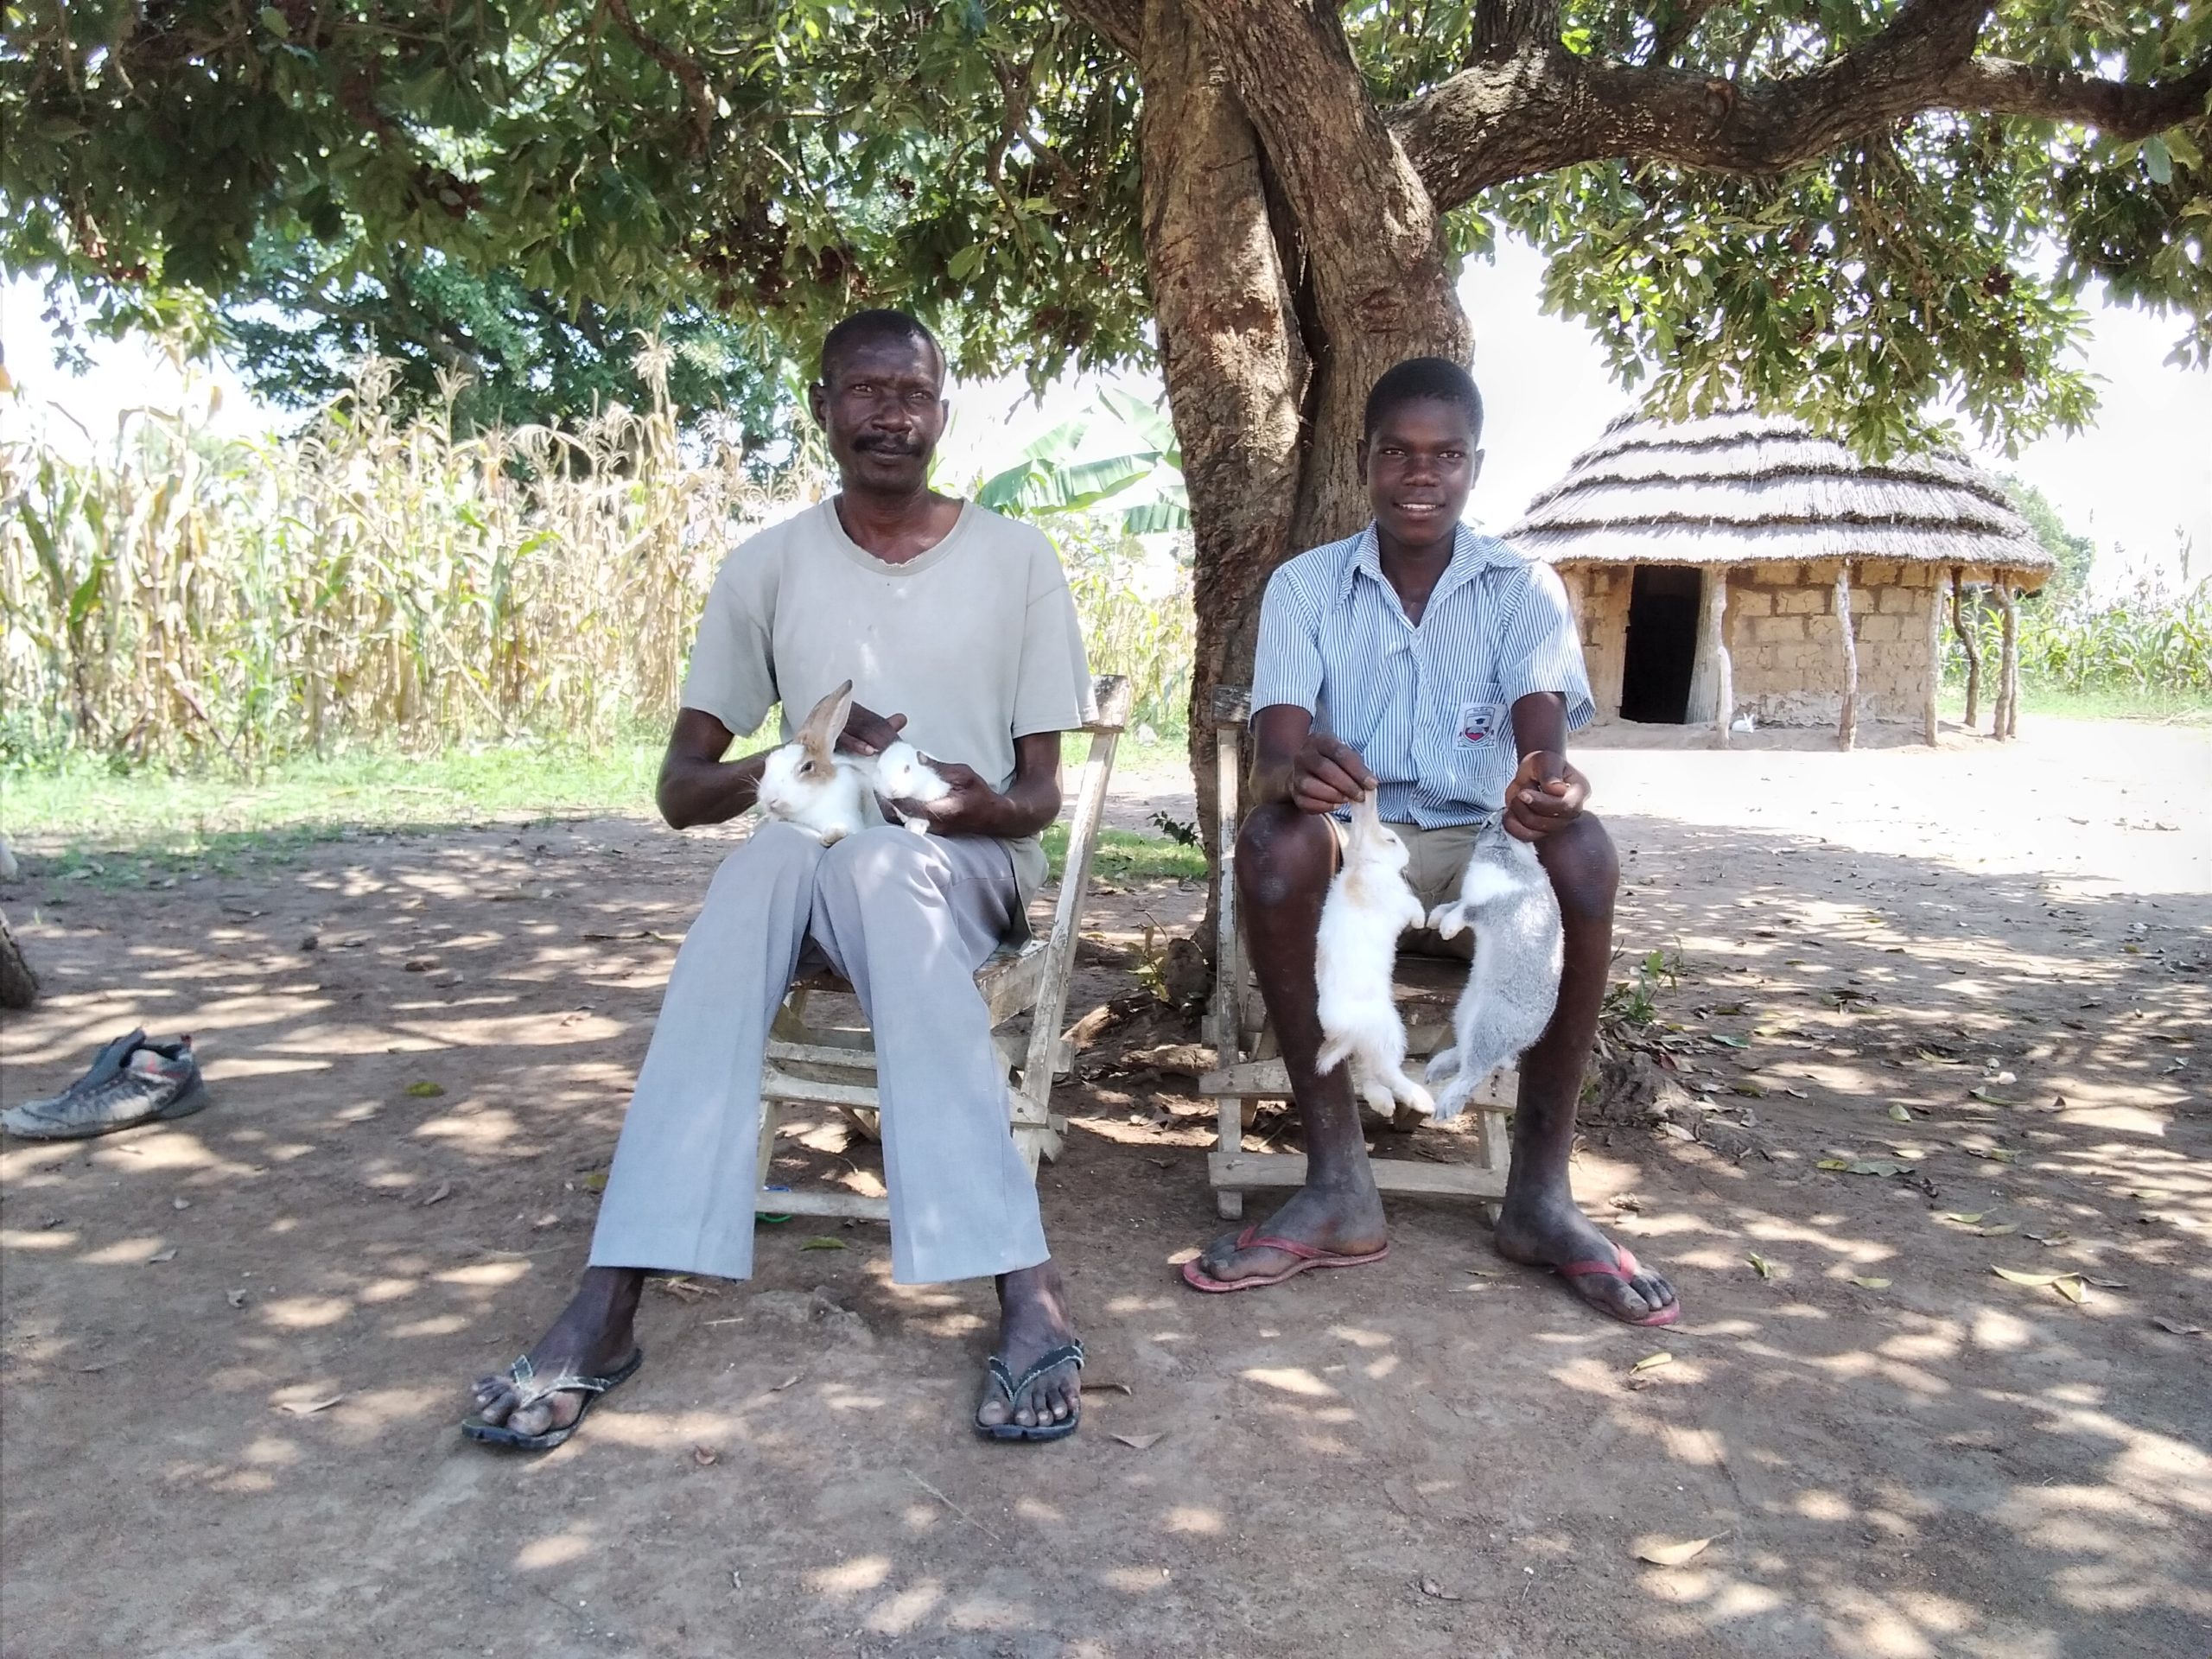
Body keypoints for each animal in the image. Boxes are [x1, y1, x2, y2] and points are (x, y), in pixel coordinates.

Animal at [1309, 787, 1433, 1119]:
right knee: (1386, 1071)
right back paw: (1421, 1100)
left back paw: (1384, 1105)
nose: (1408, 857)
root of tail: (1344, 1034)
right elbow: (1414, 908)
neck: (1366, 864)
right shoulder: (1399, 903)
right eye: (1391, 840)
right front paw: (1421, 922)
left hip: (1373, 1042)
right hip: (1387, 1031)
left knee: (1368, 1074)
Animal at [1424, 827, 1566, 1123]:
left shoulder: (1491, 907)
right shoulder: (1467, 899)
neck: (1509, 855)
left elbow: (1467, 911)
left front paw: (1446, 930)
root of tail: (1526, 1038)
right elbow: (1453, 905)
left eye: (1487, 825)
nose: (1478, 835)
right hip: (1466, 1011)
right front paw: (1434, 920)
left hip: (1489, 1027)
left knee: (1474, 1073)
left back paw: (1444, 1106)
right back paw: (1436, 1069)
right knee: (1464, 1055)